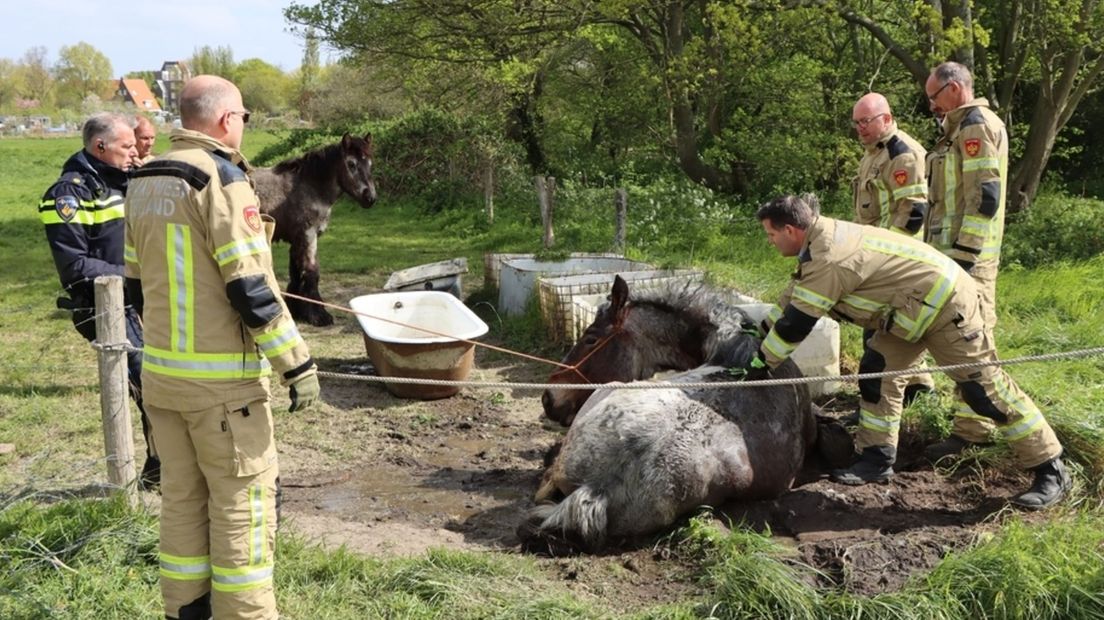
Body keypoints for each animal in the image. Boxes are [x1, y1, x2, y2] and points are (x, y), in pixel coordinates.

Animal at [253, 132, 379, 326]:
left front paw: (297, 310)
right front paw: (319, 315)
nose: (370, 197)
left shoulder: (298, 240)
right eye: (351, 164)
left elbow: (296, 272)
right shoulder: (308, 235)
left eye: (370, 164)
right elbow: (313, 272)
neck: (309, 186)